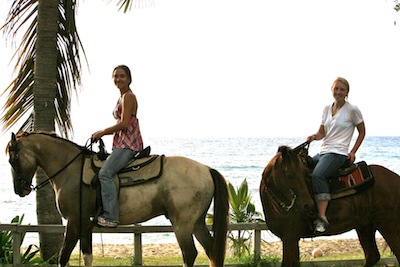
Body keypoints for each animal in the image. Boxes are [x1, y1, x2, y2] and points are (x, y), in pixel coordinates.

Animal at [7, 132, 228, 267]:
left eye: (12, 159)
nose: (20, 190)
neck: (71, 170)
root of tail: (207, 169)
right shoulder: (85, 225)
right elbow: (87, 257)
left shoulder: (73, 221)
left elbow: (63, 257)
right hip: (197, 223)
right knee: (211, 251)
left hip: (182, 224)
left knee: (189, 254)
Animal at [260, 143, 400, 267]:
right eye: (290, 175)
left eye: (305, 174)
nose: (309, 206)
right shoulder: (291, 239)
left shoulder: (289, 238)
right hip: (365, 226)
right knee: (372, 256)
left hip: (389, 226)